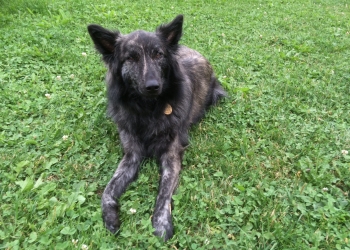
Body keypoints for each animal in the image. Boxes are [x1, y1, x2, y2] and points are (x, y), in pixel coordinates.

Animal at [86, 14, 226, 240]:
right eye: (131, 58)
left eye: (158, 54)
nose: (153, 86)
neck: (148, 110)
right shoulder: (131, 156)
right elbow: (107, 189)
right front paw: (110, 217)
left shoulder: (171, 155)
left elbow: (164, 193)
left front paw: (161, 223)